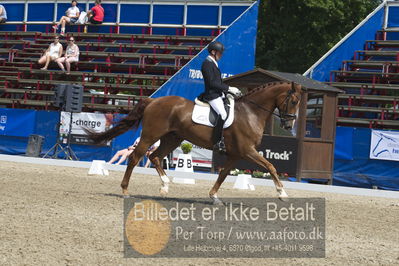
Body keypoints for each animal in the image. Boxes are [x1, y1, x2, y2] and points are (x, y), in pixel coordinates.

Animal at [87, 81, 302, 204]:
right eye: (293, 101)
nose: (288, 124)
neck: (251, 113)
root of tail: (153, 101)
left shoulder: (235, 154)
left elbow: (223, 175)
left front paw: (214, 196)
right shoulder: (247, 151)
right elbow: (271, 166)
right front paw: (282, 193)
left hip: (173, 138)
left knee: (155, 157)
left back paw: (165, 186)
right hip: (150, 136)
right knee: (135, 157)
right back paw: (125, 190)